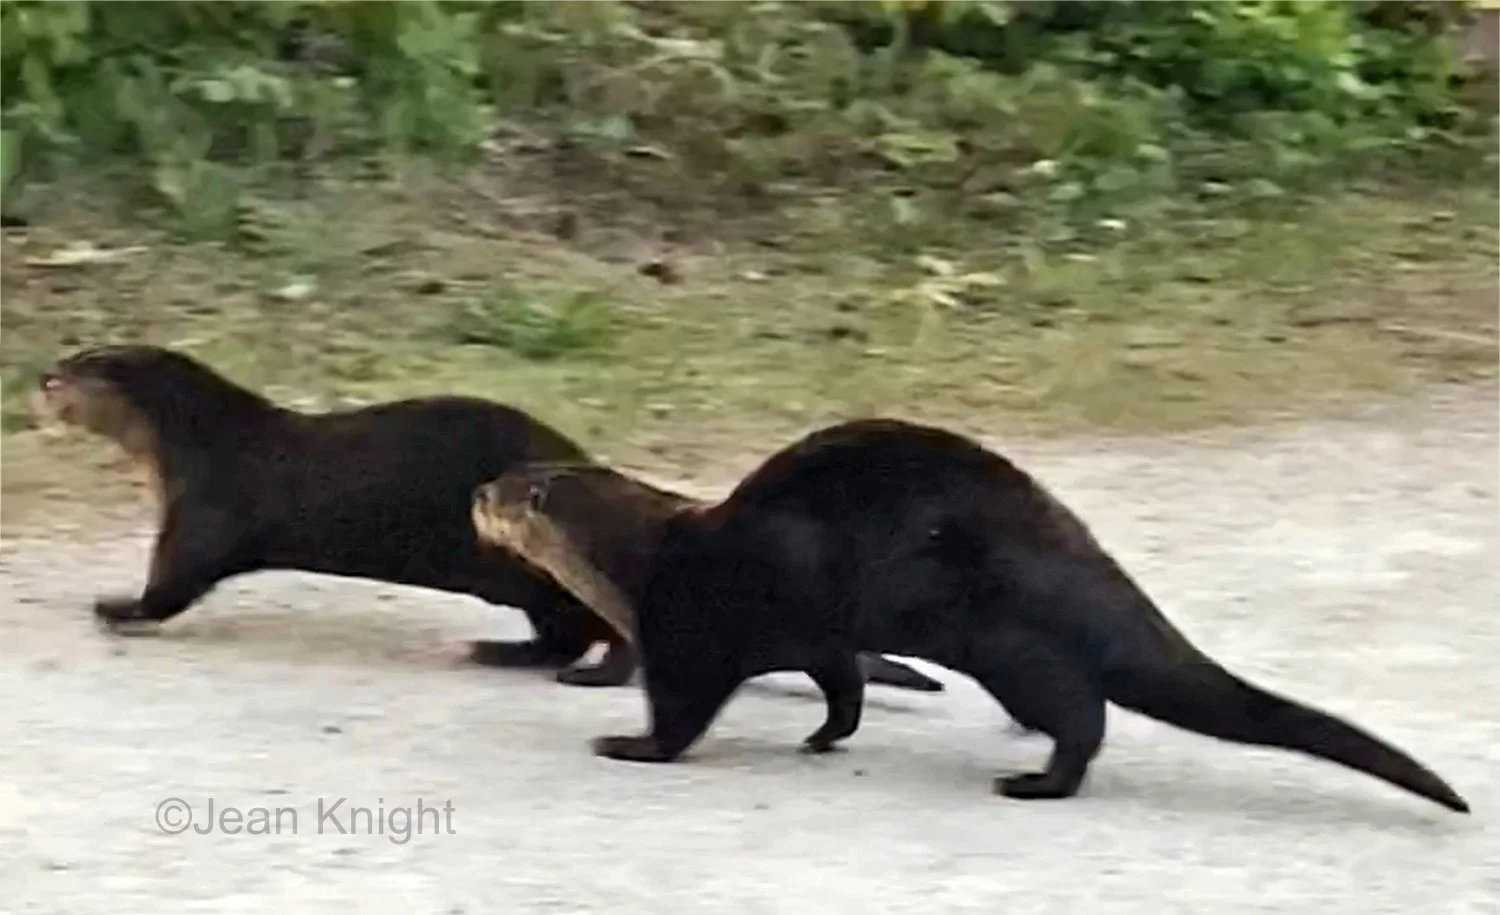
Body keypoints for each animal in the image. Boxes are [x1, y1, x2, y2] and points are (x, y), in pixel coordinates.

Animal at [31, 344, 941, 693]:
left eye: (74, 369)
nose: (36, 377)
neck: (198, 440)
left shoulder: (206, 506)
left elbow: (175, 580)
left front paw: (116, 607)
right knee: (570, 627)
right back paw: (503, 651)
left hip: (535, 569)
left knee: (596, 626)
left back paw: (549, 664)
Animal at [471, 419, 1469, 813]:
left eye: (509, 490)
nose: (477, 492)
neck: (640, 557)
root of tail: (1075, 561)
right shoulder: (820, 632)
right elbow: (841, 683)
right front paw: (824, 737)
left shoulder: (688, 626)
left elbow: (681, 709)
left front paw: (627, 744)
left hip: (1006, 636)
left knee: (1081, 712)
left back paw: (1037, 780)